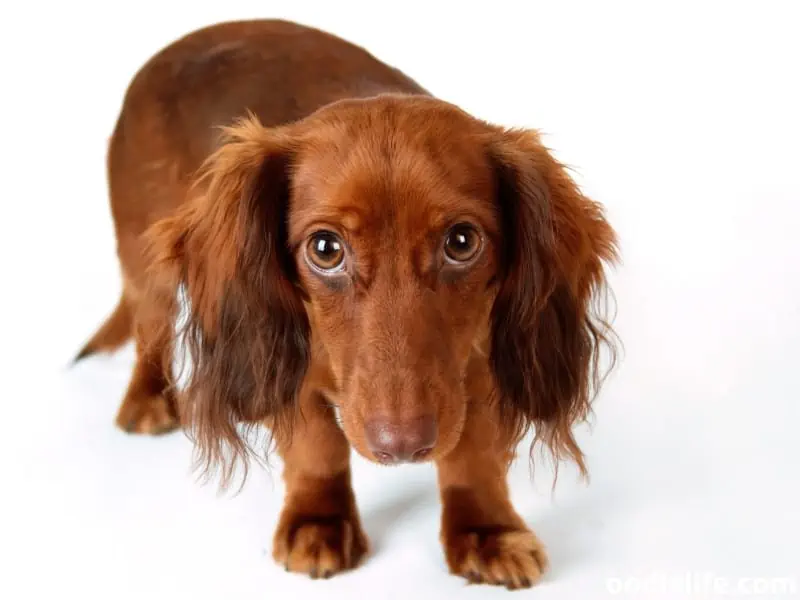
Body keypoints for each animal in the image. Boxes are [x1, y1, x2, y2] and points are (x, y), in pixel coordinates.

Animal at [78, 19, 620, 592]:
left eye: (462, 241)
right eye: (325, 248)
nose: (401, 447)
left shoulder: (478, 363)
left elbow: (473, 454)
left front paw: (486, 530)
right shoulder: (289, 357)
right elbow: (317, 445)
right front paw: (318, 521)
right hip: (145, 257)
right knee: (150, 325)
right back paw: (147, 397)